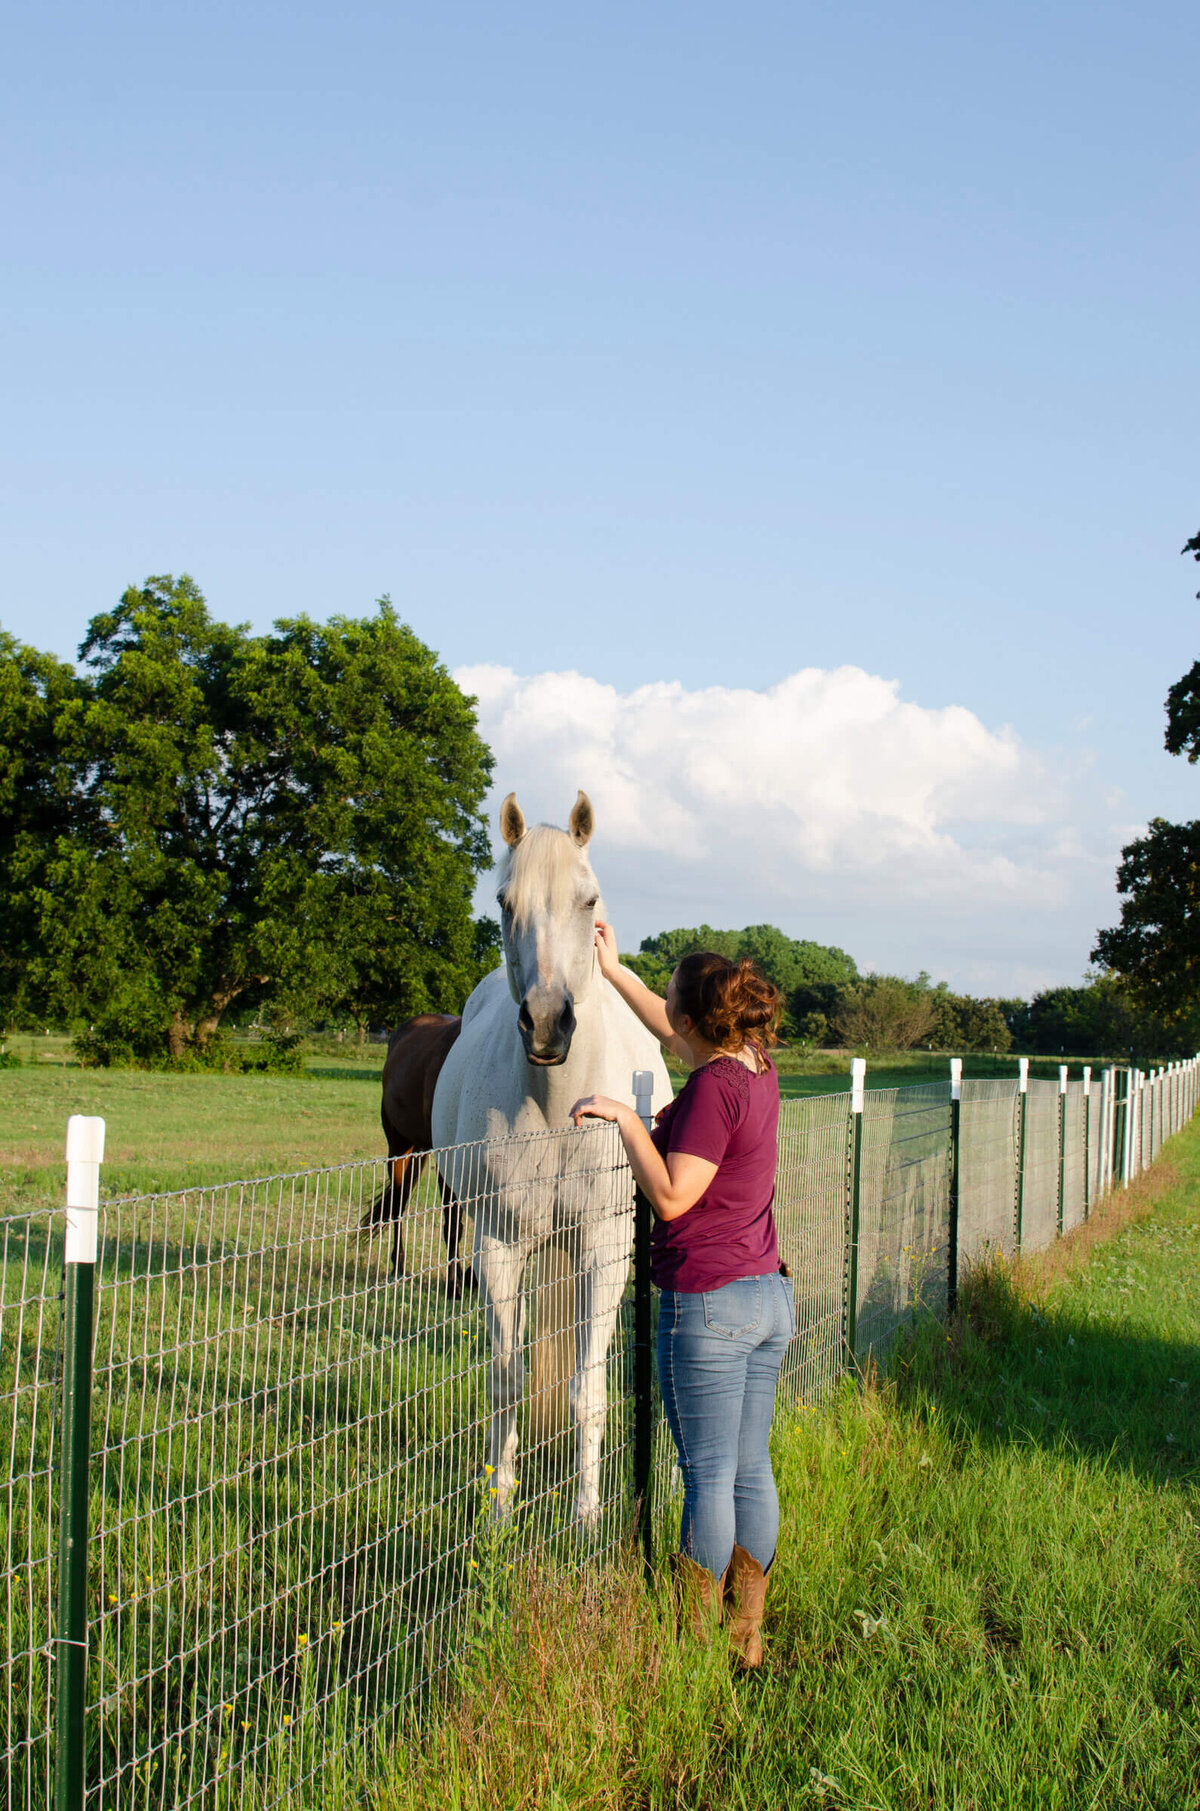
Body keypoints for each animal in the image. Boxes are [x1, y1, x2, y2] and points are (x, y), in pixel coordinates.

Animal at [432, 793, 676, 1528]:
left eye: (587, 898)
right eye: (504, 902)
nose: (546, 1023)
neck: (558, 1104)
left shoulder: (603, 1249)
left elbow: (586, 1387)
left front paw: (587, 1518)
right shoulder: (498, 1246)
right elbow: (507, 1380)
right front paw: (499, 1509)